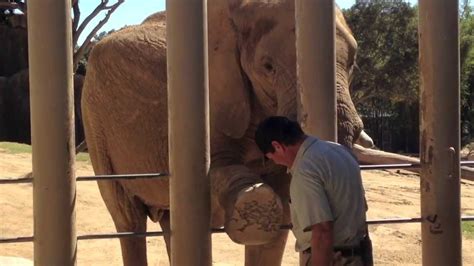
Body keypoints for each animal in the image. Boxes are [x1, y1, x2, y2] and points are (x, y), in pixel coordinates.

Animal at [80, 1, 366, 264]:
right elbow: (213, 172)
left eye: (353, 62)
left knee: (169, 220)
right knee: (128, 218)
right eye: (268, 67)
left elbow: (282, 217)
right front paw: (253, 200)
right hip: (95, 123)